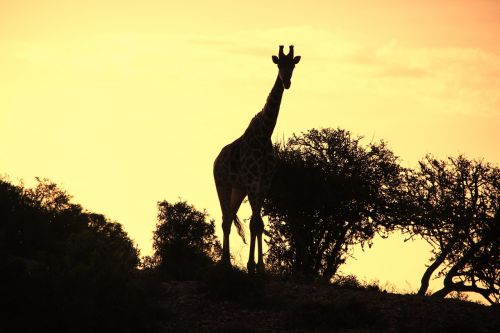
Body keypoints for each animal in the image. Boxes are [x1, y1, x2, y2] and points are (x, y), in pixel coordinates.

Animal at [212, 44, 300, 272]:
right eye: (279, 64)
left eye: (293, 65)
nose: (287, 82)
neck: (264, 133)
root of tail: (216, 160)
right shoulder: (253, 180)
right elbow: (255, 222)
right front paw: (252, 265)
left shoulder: (264, 182)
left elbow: (258, 223)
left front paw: (259, 266)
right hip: (222, 183)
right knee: (225, 218)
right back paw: (225, 262)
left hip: (238, 188)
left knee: (230, 217)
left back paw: (228, 261)